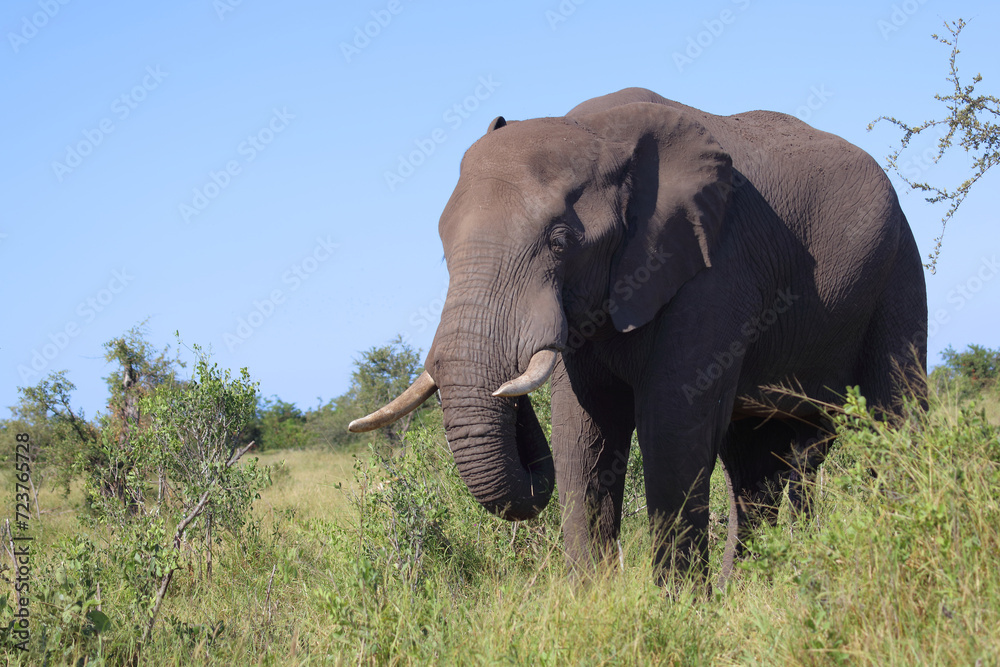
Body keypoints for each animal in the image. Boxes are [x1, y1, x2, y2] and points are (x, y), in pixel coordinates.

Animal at [348, 87, 924, 580]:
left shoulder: (716, 268)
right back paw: (748, 589)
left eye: (561, 241)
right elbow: (583, 432)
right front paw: (594, 603)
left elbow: (672, 425)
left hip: (898, 268)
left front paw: (678, 612)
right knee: (759, 463)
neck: (600, 133)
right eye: (444, 249)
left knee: (892, 422)